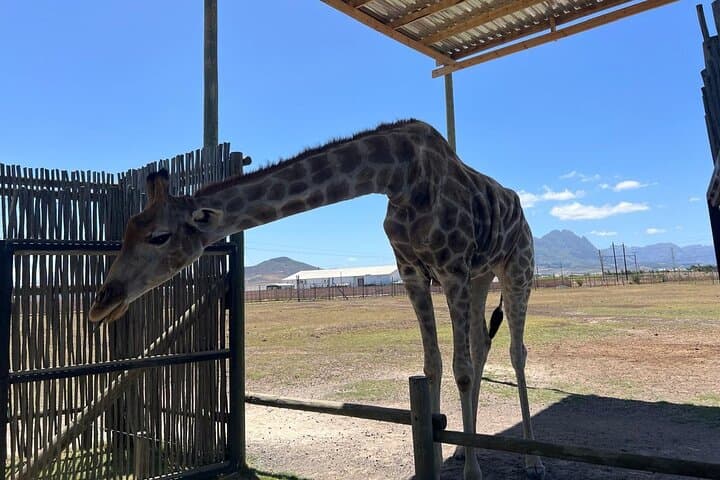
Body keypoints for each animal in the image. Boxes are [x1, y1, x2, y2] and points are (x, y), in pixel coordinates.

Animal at [89, 119, 545, 480]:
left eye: (159, 236)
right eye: (126, 229)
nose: (101, 302)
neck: (401, 178)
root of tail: (519, 208)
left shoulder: (451, 269)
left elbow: (460, 369)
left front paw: (473, 473)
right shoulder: (414, 273)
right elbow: (431, 365)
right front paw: (434, 453)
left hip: (515, 268)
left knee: (515, 350)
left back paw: (533, 460)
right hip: (481, 275)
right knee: (482, 345)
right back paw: (475, 446)